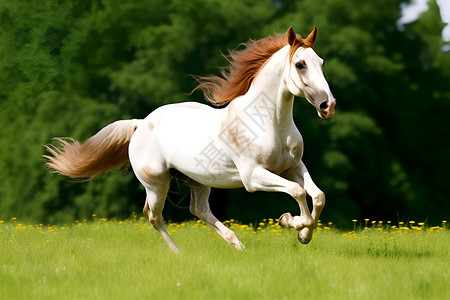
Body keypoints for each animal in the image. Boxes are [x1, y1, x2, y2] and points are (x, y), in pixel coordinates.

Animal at [45, 27, 336, 253]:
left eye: (321, 62)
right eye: (300, 64)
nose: (328, 106)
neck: (269, 123)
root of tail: (141, 124)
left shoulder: (293, 167)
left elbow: (318, 195)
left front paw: (303, 234)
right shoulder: (253, 177)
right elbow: (297, 191)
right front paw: (291, 222)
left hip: (198, 180)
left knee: (198, 210)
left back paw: (237, 244)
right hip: (157, 183)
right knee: (154, 215)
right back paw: (178, 253)